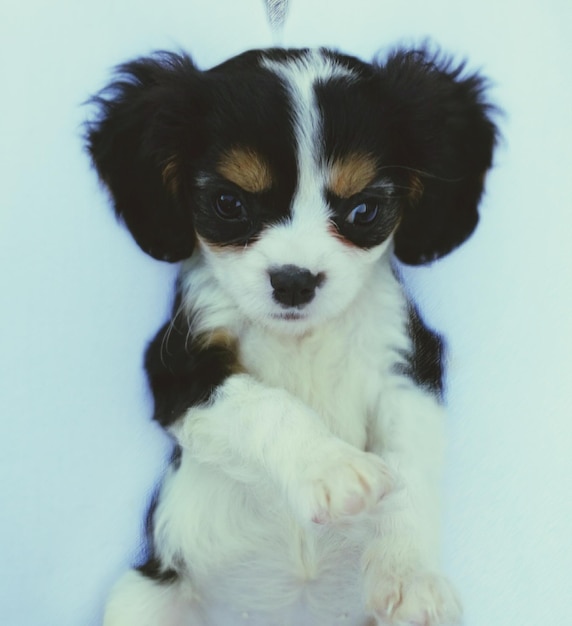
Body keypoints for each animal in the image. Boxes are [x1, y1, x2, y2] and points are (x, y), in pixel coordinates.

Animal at [87, 47, 498, 624]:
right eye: (229, 204)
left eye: (364, 210)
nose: (294, 282)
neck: (302, 337)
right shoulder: (177, 370)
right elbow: (264, 405)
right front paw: (332, 467)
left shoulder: (411, 364)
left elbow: (408, 465)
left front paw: (408, 575)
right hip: (141, 597)